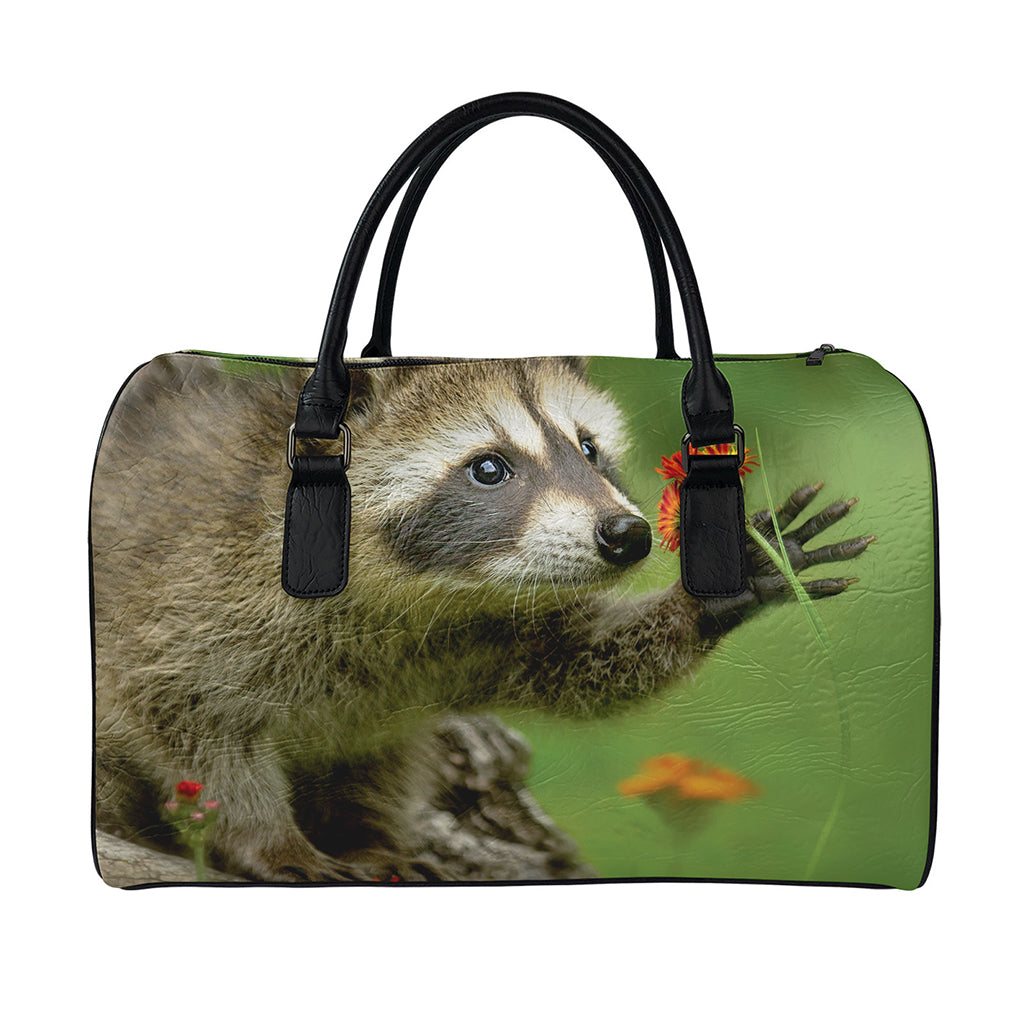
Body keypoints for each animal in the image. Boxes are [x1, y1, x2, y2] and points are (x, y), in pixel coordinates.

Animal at [92, 353, 873, 882]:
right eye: (489, 468)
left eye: (588, 448)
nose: (627, 535)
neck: (425, 593)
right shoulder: (184, 593)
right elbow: (188, 724)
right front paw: (265, 837)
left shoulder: (485, 629)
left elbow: (578, 663)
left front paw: (709, 596)